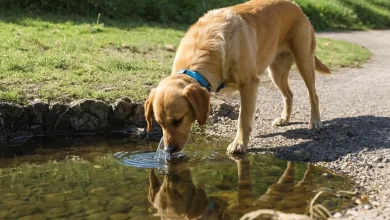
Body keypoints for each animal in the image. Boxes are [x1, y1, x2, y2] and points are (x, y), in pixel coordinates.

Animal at [145, 0, 330, 155]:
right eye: (160, 123)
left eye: (178, 120)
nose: (168, 151)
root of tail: (296, 6)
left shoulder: (249, 84)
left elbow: (243, 119)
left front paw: (239, 144)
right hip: (276, 72)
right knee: (289, 95)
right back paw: (285, 118)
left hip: (304, 61)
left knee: (313, 95)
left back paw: (315, 121)